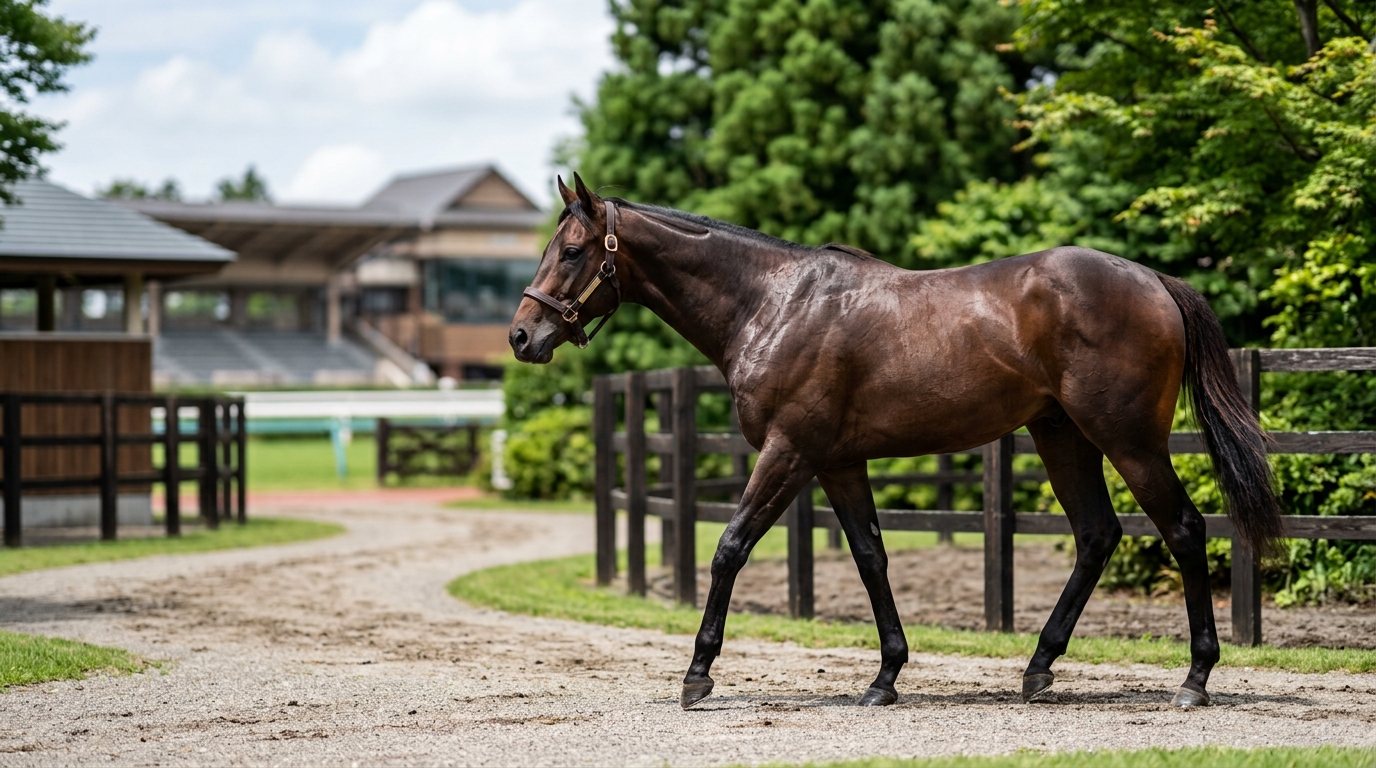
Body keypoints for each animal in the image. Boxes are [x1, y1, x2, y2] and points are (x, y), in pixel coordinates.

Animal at [509, 174, 1283, 711]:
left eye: (572, 251)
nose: (522, 336)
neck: (772, 303)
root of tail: (1152, 279)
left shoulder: (789, 451)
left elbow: (730, 545)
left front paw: (698, 675)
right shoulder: (839, 462)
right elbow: (871, 557)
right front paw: (885, 676)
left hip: (1130, 440)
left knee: (1183, 529)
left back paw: (1194, 678)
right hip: (1061, 436)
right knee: (1097, 535)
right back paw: (1038, 668)